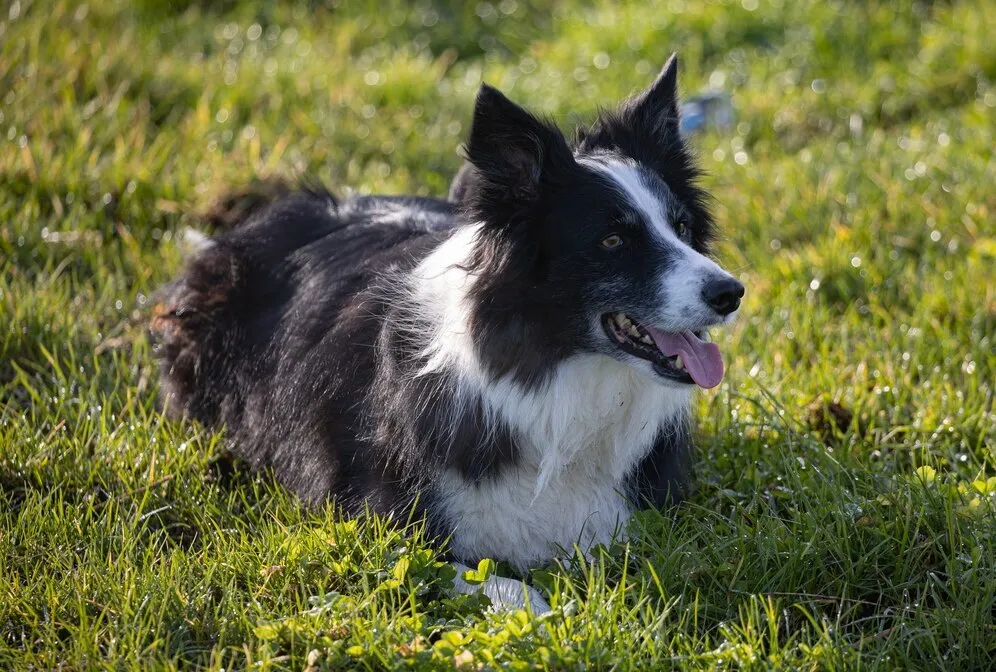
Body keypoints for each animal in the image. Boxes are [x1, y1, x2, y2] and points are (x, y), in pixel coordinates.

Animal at [154, 56, 740, 616]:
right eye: (613, 240)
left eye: (683, 228)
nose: (731, 293)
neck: (551, 371)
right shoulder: (379, 524)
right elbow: (501, 584)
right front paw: (551, 613)